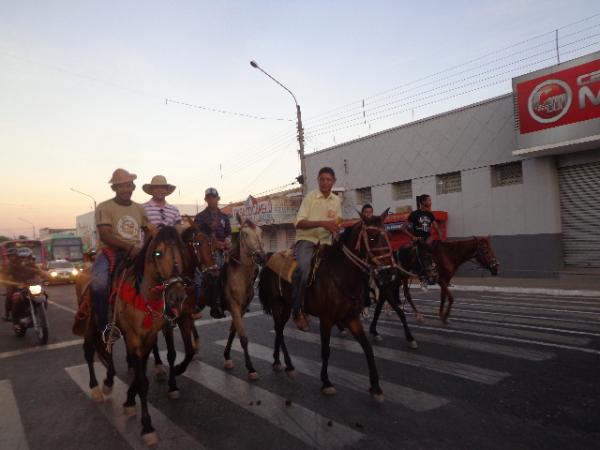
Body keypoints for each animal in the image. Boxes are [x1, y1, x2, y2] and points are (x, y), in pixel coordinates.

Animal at [148, 221, 218, 398]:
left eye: (214, 244)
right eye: (198, 243)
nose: (214, 274)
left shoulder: (185, 317)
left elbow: (189, 350)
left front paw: (180, 368)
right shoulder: (166, 322)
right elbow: (171, 353)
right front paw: (173, 385)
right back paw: (158, 366)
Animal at [219, 214, 264, 380]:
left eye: (261, 232)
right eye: (244, 234)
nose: (261, 256)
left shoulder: (242, 309)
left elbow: (233, 332)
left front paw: (227, 357)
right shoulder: (234, 307)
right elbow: (243, 338)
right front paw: (251, 368)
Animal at [256, 213, 394, 402]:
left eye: (386, 236)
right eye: (372, 237)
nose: (388, 272)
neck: (341, 273)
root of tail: (269, 259)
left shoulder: (351, 318)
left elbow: (368, 348)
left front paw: (376, 387)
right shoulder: (326, 318)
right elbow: (326, 350)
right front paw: (326, 382)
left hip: (286, 307)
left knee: (279, 330)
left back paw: (277, 361)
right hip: (277, 305)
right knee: (279, 331)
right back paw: (289, 366)